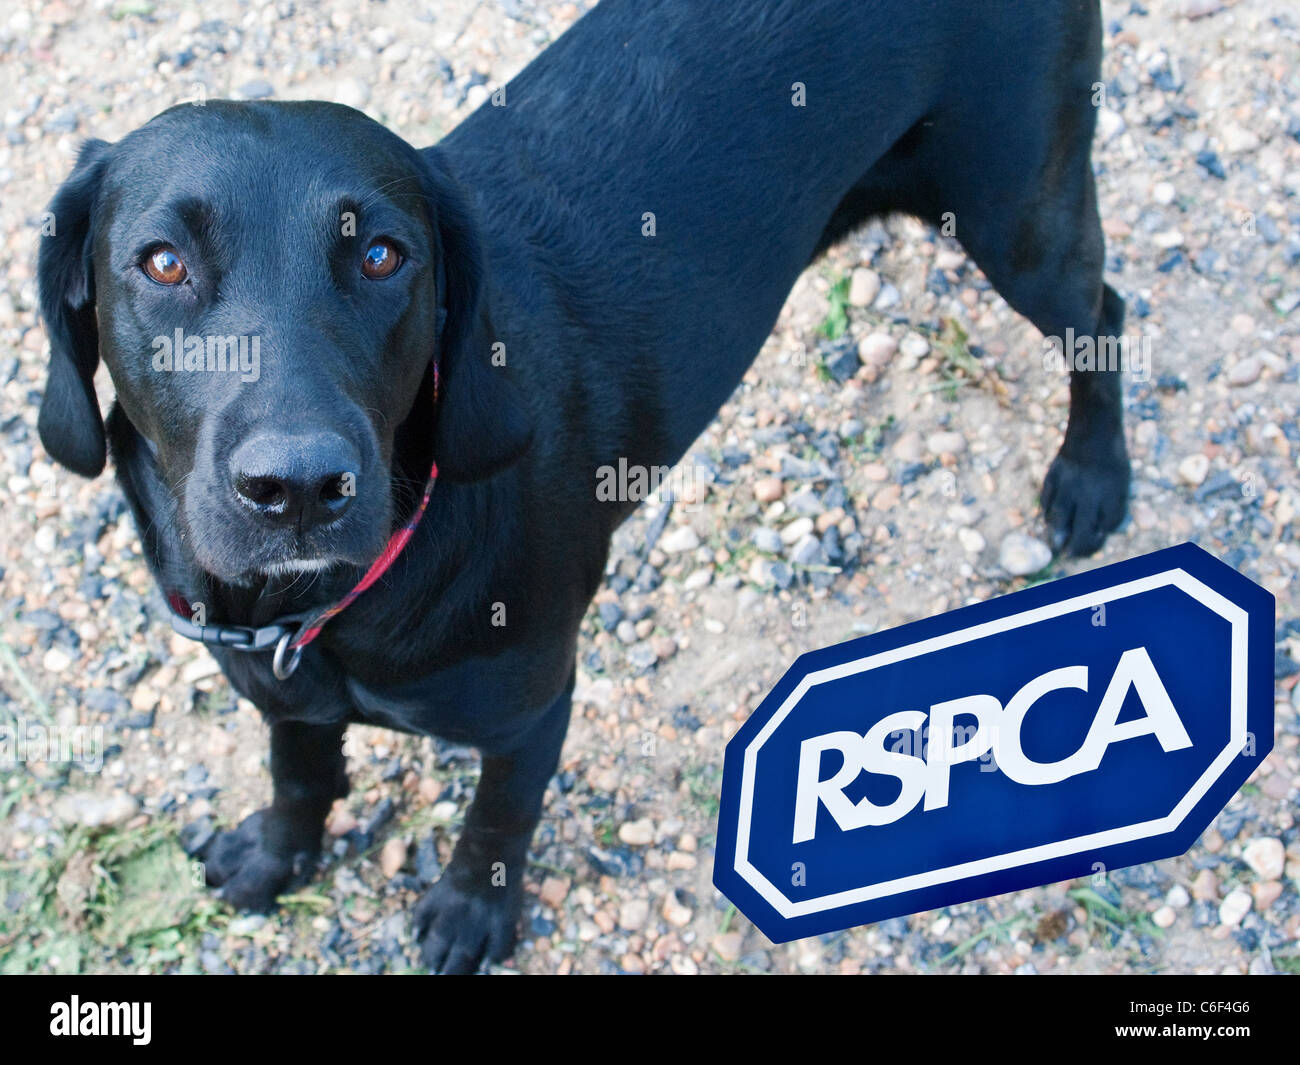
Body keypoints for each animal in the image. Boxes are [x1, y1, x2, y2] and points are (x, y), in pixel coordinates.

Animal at [35, 0, 1133, 972]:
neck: (331, 612)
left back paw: (1092, 478)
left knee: (1104, 314)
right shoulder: (281, 693)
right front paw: (274, 854)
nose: (300, 486)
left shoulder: (534, 706)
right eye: (162, 263)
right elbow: (299, 775)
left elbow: (498, 819)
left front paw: (470, 916)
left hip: (1018, 215)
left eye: (384, 254)